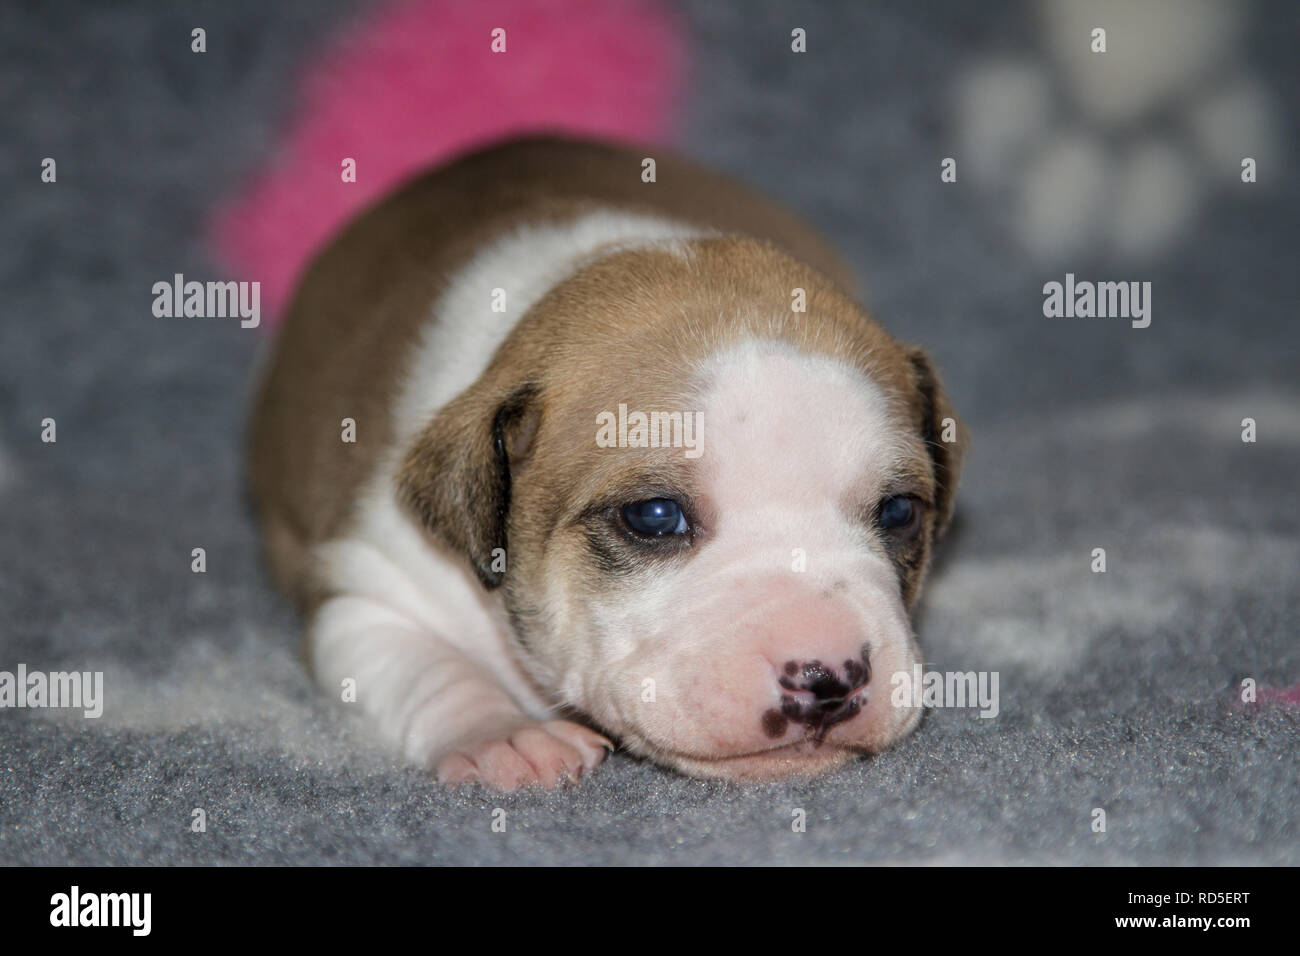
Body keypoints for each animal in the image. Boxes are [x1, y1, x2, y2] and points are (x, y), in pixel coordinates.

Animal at [245, 136, 967, 790]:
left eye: (899, 511)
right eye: (653, 516)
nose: (828, 677)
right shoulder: (369, 591)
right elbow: (425, 665)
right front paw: (503, 735)